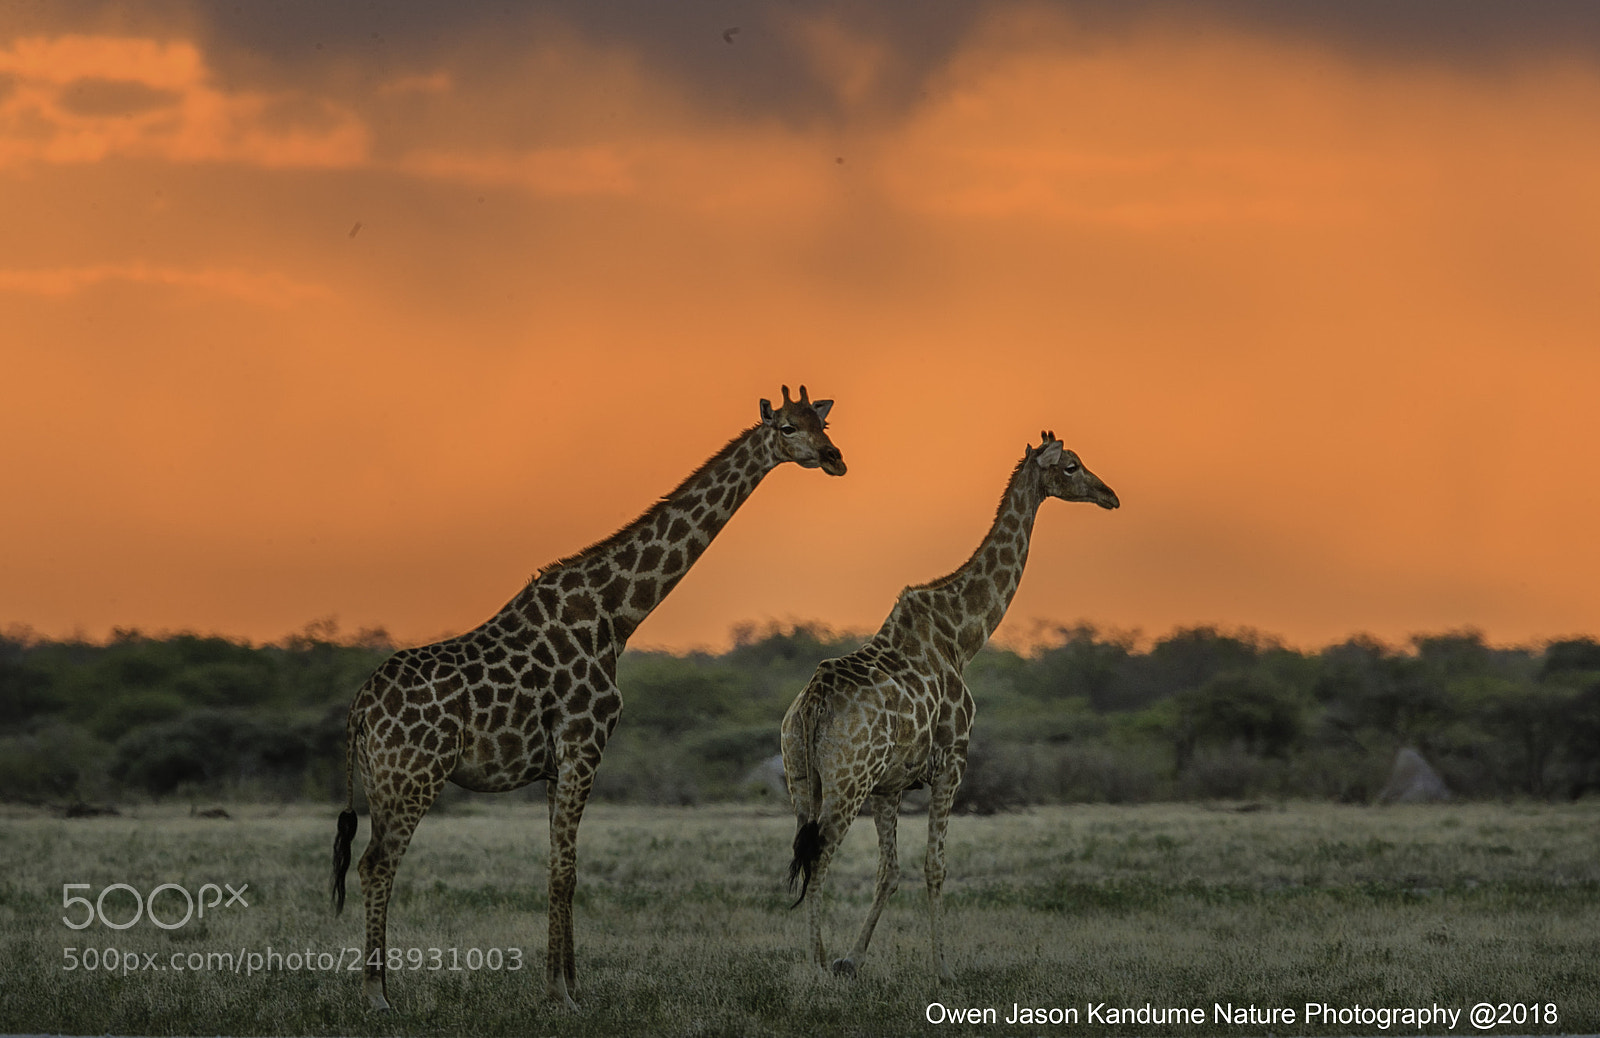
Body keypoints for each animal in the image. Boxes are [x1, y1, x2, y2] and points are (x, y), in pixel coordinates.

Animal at [330, 385, 845, 1011]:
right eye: (788, 428)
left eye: (822, 423)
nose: (836, 458)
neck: (615, 612)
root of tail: (360, 708)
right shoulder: (583, 744)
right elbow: (566, 871)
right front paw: (561, 994)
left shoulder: (557, 763)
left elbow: (559, 865)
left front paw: (568, 985)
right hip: (414, 775)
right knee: (378, 864)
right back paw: (376, 995)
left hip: (383, 780)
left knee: (368, 860)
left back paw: (378, 987)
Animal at [781, 431, 1117, 980]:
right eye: (1071, 466)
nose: (1110, 495)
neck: (963, 636)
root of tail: (812, 703)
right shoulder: (952, 762)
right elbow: (934, 867)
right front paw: (943, 969)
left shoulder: (890, 784)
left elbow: (889, 872)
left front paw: (856, 958)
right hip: (847, 780)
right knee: (823, 852)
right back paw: (817, 965)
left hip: (801, 777)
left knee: (805, 849)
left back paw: (823, 960)